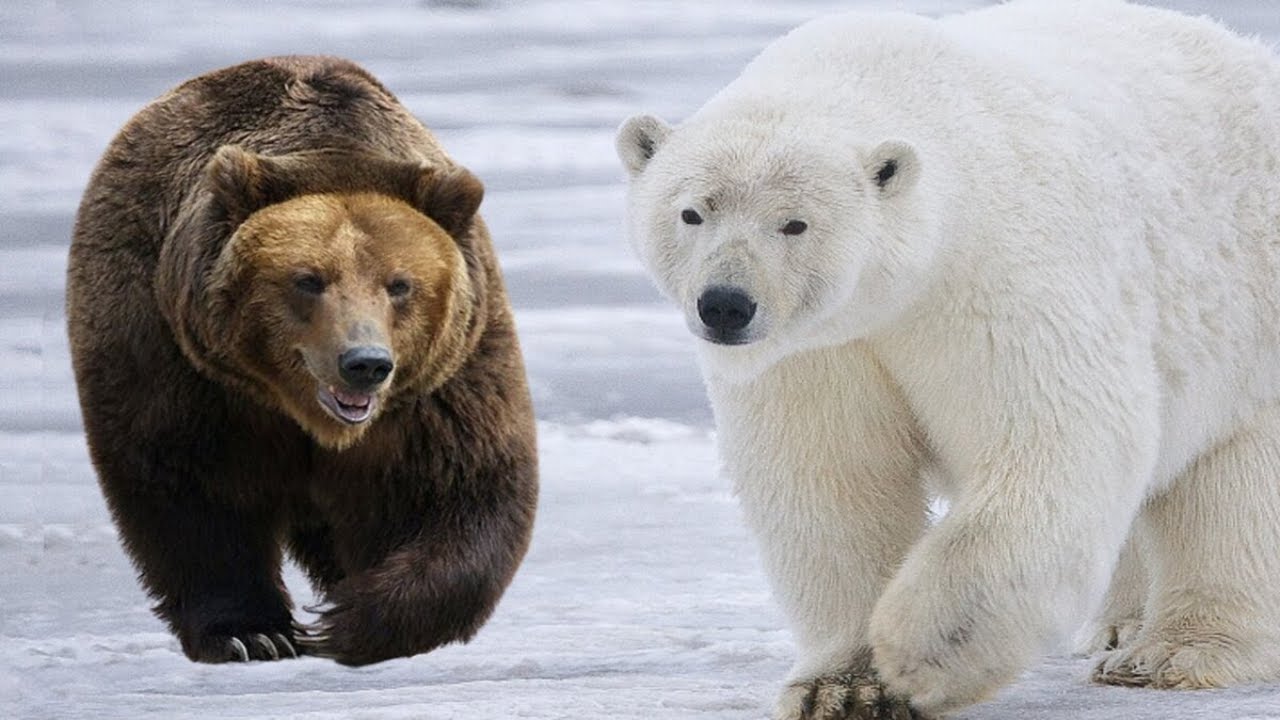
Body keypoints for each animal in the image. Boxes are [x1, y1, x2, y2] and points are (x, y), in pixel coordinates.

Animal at [66, 55, 538, 666]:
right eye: (308, 280)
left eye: (399, 285)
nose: (365, 363)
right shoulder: (180, 361)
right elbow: (189, 483)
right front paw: (251, 632)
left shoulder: (443, 382)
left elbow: (457, 487)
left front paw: (348, 620)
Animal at [616, 1, 1280, 717]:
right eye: (691, 212)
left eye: (794, 223)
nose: (726, 305)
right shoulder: (818, 349)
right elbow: (832, 481)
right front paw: (841, 686)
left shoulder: (998, 276)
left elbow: (1052, 440)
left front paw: (923, 653)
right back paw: (1120, 627)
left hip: (1248, 312)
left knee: (1234, 491)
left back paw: (1172, 653)